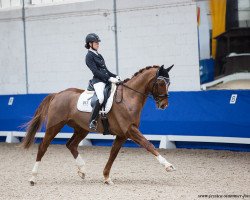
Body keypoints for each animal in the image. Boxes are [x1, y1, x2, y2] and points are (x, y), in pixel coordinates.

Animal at [22, 65, 176, 185]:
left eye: (169, 84)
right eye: (160, 83)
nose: (164, 105)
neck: (128, 98)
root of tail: (57, 94)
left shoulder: (122, 135)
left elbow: (113, 154)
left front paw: (106, 177)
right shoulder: (130, 130)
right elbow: (148, 144)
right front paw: (168, 165)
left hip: (82, 128)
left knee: (71, 145)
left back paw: (82, 170)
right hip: (54, 126)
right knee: (43, 147)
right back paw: (33, 178)